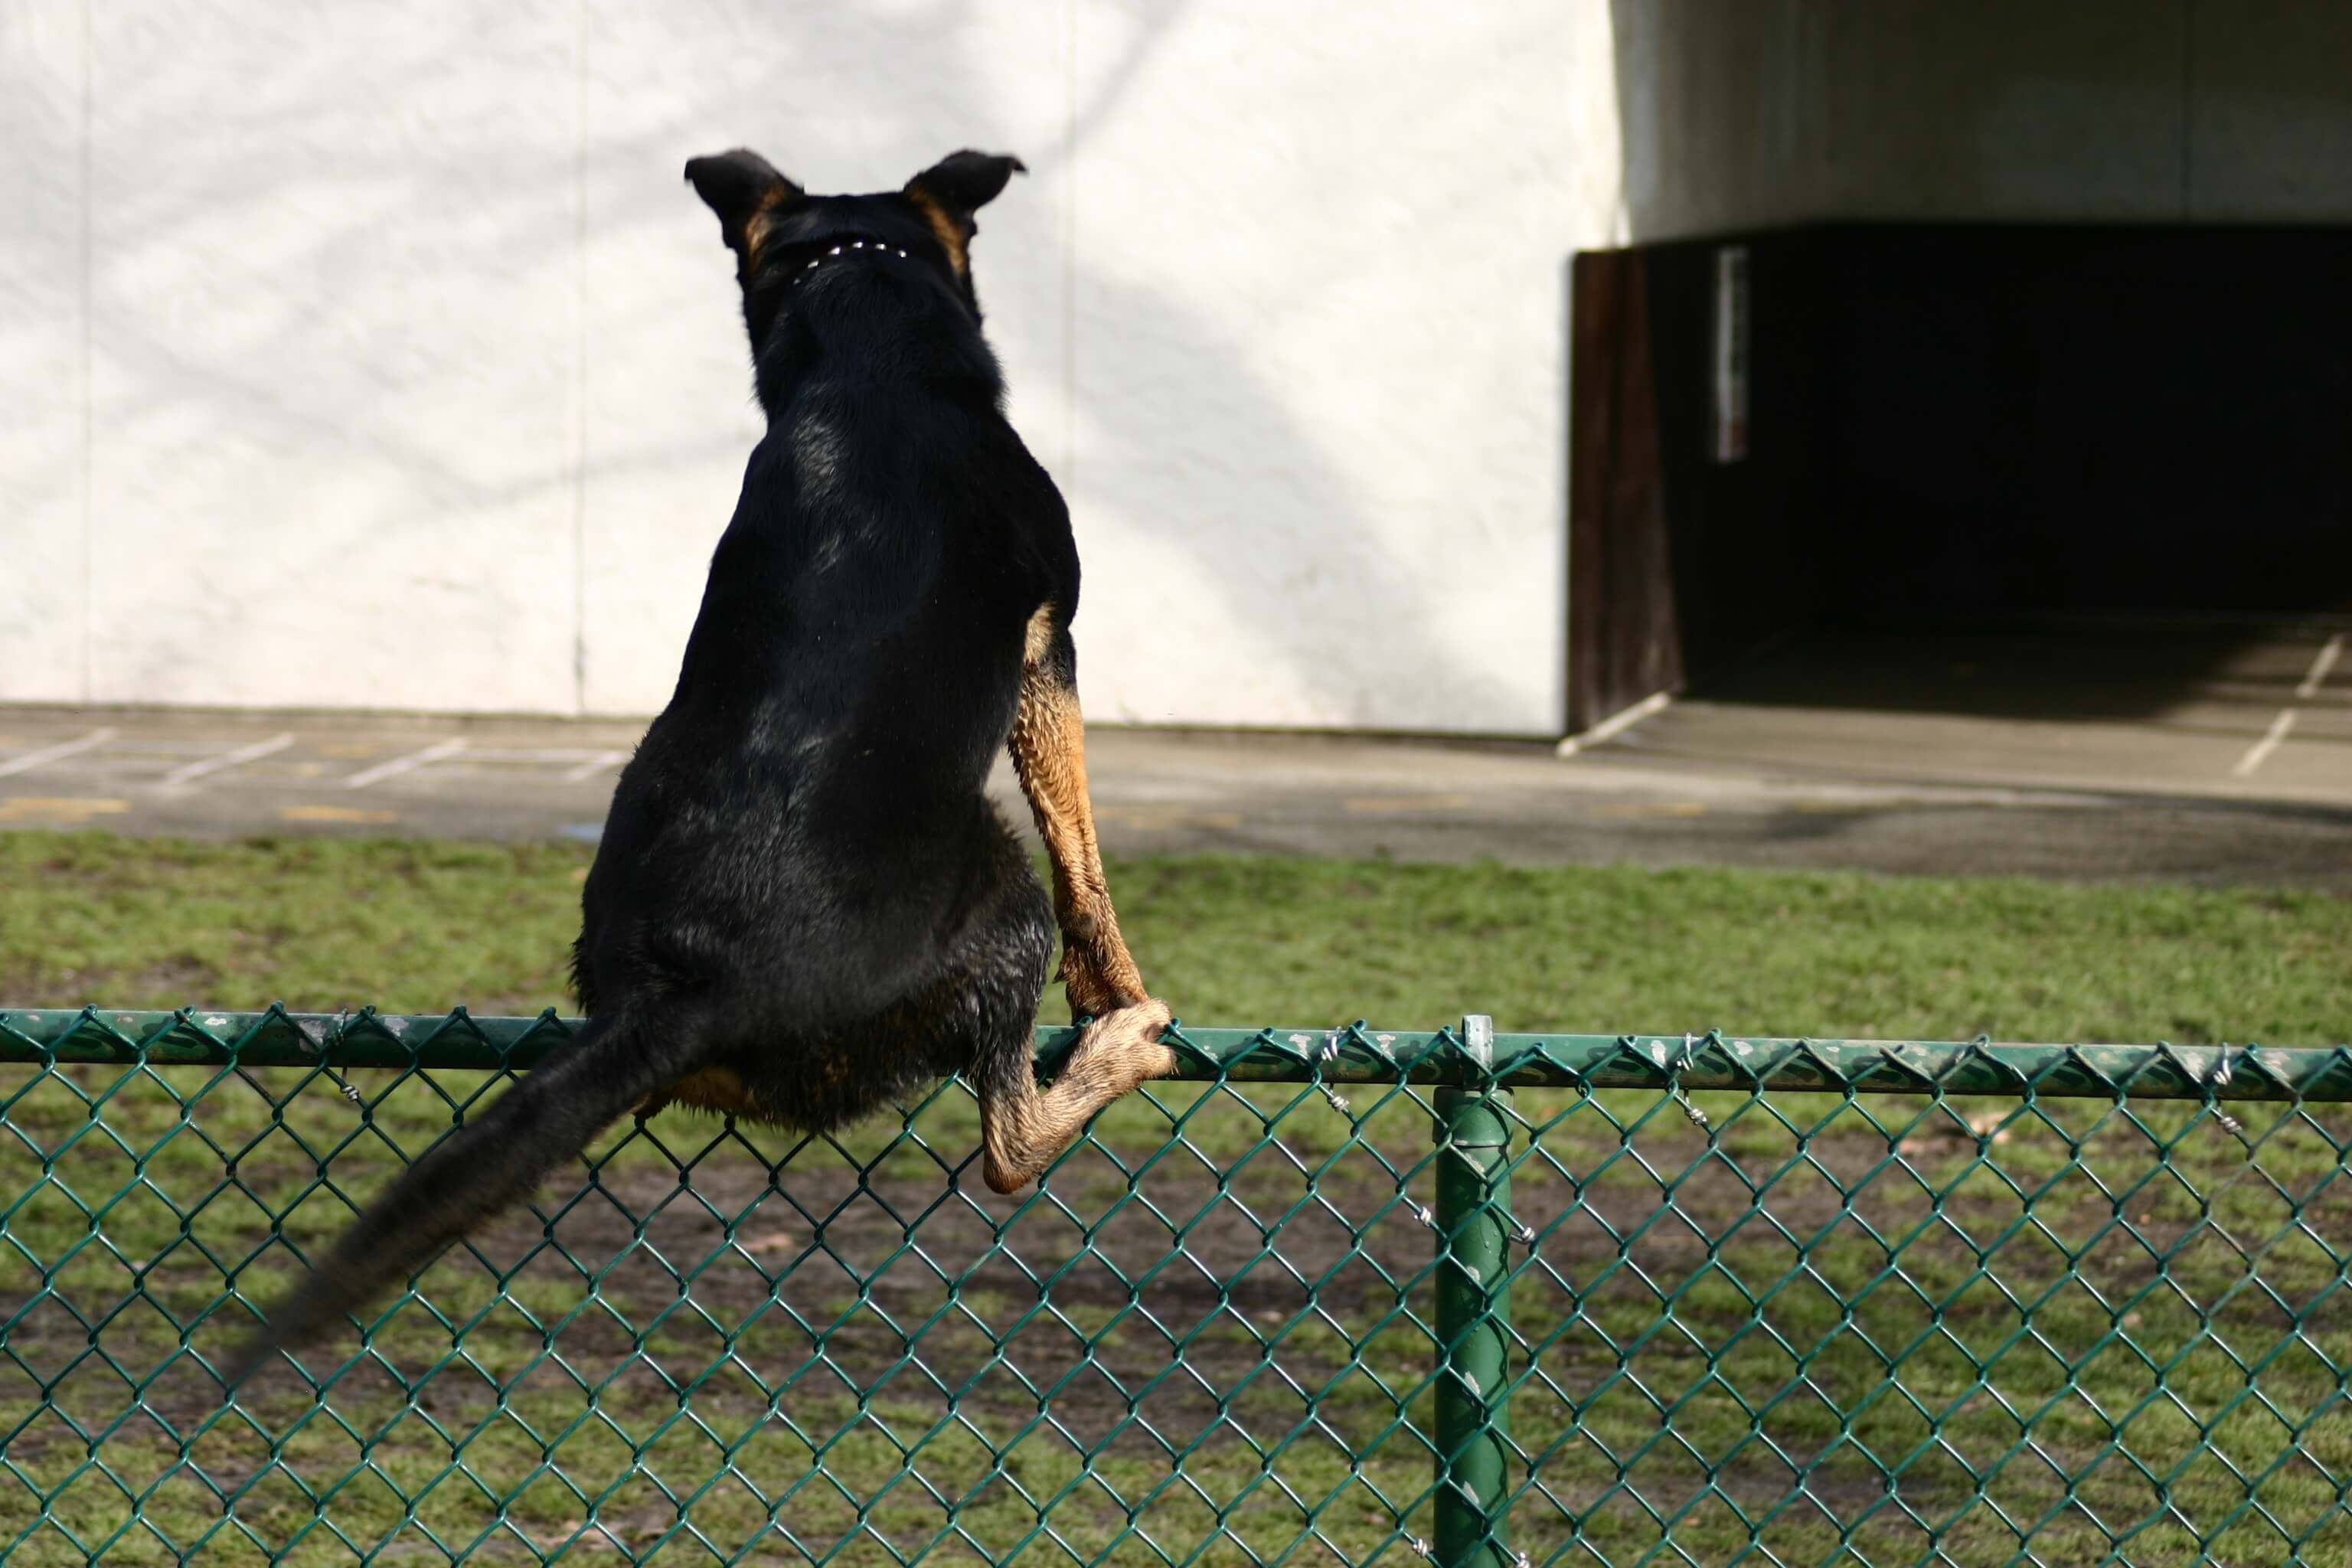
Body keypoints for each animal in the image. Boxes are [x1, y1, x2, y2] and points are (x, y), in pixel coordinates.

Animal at [229, 144, 1166, 1373]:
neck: (861, 341)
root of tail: (689, 986)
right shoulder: (1047, 638)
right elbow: (1082, 842)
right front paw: (1117, 981)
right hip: (996, 890)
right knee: (1009, 1140)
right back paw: (1119, 1053)